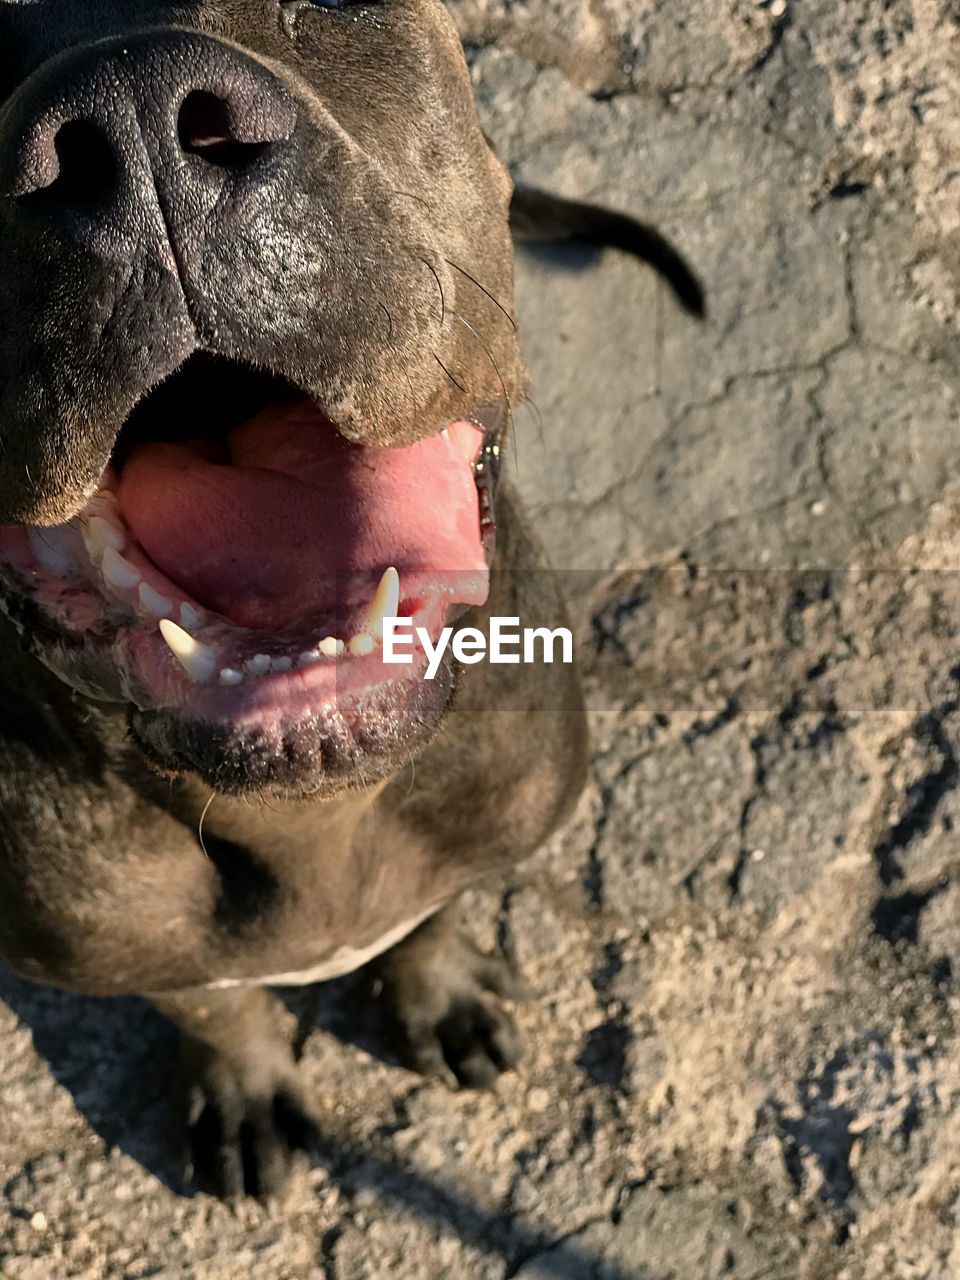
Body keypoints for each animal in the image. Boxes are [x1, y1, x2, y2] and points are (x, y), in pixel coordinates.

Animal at [0, 0, 706, 1198]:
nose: (137, 117)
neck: (309, 815)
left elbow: (435, 909)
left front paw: (436, 986)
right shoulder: (122, 942)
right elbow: (209, 1000)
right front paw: (241, 1080)